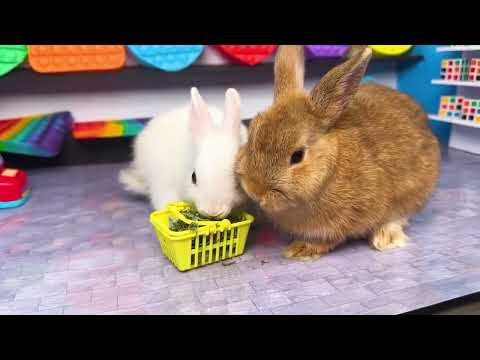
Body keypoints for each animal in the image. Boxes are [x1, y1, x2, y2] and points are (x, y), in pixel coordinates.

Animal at [234, 45, 440, 258]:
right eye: (252, 134)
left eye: (298, 156)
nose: (255, 190)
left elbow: (329, 239)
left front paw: (300, 249)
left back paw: (385, 238)